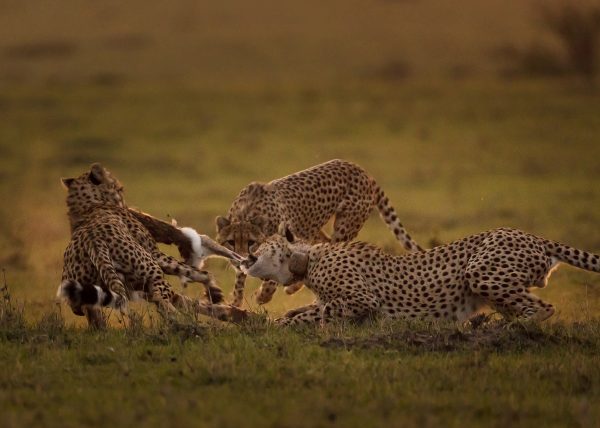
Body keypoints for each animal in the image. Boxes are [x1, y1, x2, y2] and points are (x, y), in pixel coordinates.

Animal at [56, 162, 244, 326]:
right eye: (120, 189)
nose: (126, 204)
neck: (88, 207)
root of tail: (94, 242)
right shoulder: (156, 255)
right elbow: (198, 272)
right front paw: (214, 291)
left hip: (86, 296)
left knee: (96, 319)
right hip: (153, 271)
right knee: (163, 302)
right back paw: (189, 326)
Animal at [216, 159, 422, 306]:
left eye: (251, 242)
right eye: (231, 242)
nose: (239, 257)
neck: (247, 212)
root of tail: (362, 171)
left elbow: (271, 279)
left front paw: (261, 296)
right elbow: (241, 276)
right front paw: (235, 300)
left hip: (344, 227)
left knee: (325, 250)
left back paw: (292, 287)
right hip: (312, 229)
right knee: (316, 246)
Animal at [240, 226, 600, 326]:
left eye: (263, 241)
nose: (248, 250)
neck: (306, 258)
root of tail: (532, 235)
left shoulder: (363, 300)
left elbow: (320, 311)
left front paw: (281, 324)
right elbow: (307, 307)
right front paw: (288, 315)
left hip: (480, 272)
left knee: (543, 309)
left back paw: (507, 330)